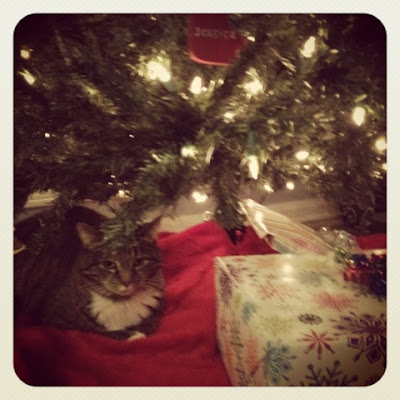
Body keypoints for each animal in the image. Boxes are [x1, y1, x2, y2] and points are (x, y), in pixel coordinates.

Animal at [14, 206, 165, 340]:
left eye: (139, 262)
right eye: (108, 264)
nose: (126, 282)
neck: (122, 302)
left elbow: (148, 325)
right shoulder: (56, 319)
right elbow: (96, 330)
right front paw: (132, 335)